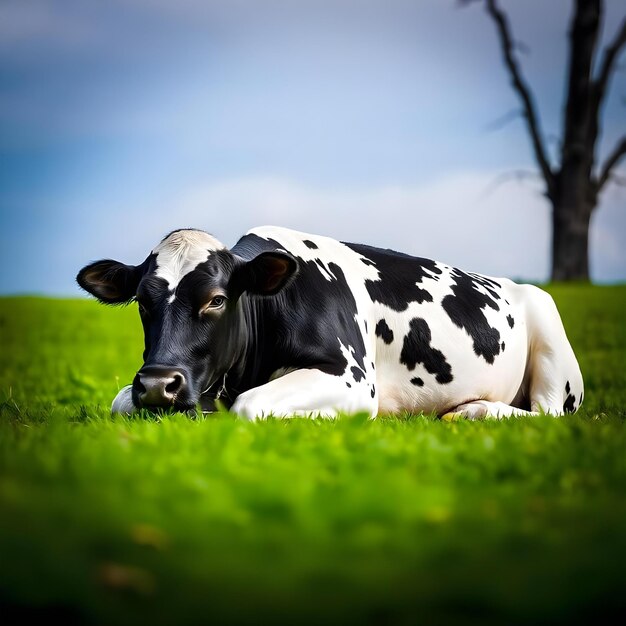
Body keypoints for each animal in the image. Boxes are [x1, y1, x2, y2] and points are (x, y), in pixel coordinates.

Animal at [75, 224, 584, 420]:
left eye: (217, 300)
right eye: (142, 302)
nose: (159, 385)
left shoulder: (354, 379)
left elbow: (249, 406)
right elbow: (119, 403)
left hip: (553, 353)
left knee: (547, 414)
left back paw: (472, 410)